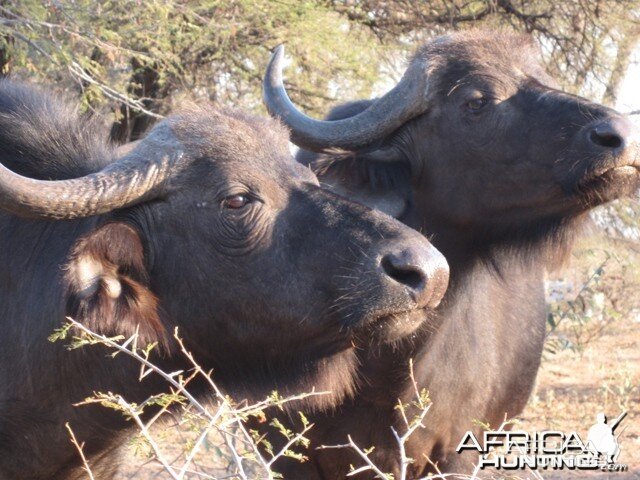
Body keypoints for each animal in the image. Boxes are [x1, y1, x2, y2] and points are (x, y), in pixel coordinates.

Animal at [262, 30, 640, 476]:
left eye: (544, 78)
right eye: (476, 101)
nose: (622, 135)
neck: (387, 367)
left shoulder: (460, 452)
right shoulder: (284, 455)